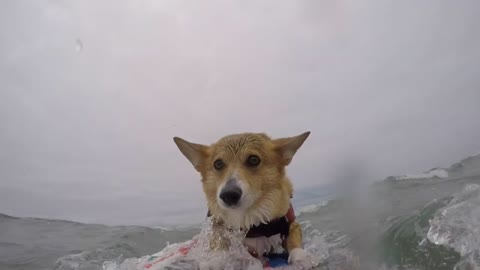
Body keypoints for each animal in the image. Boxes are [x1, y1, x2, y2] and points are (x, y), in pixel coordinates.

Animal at [172, 132, 312, 264]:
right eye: (218, 164)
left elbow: (295, 245)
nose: (229, 195)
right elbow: (218, 245)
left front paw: (302, 259)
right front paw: (214, 260)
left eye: (254, 160)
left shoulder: (292, 225)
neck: (249, 219)